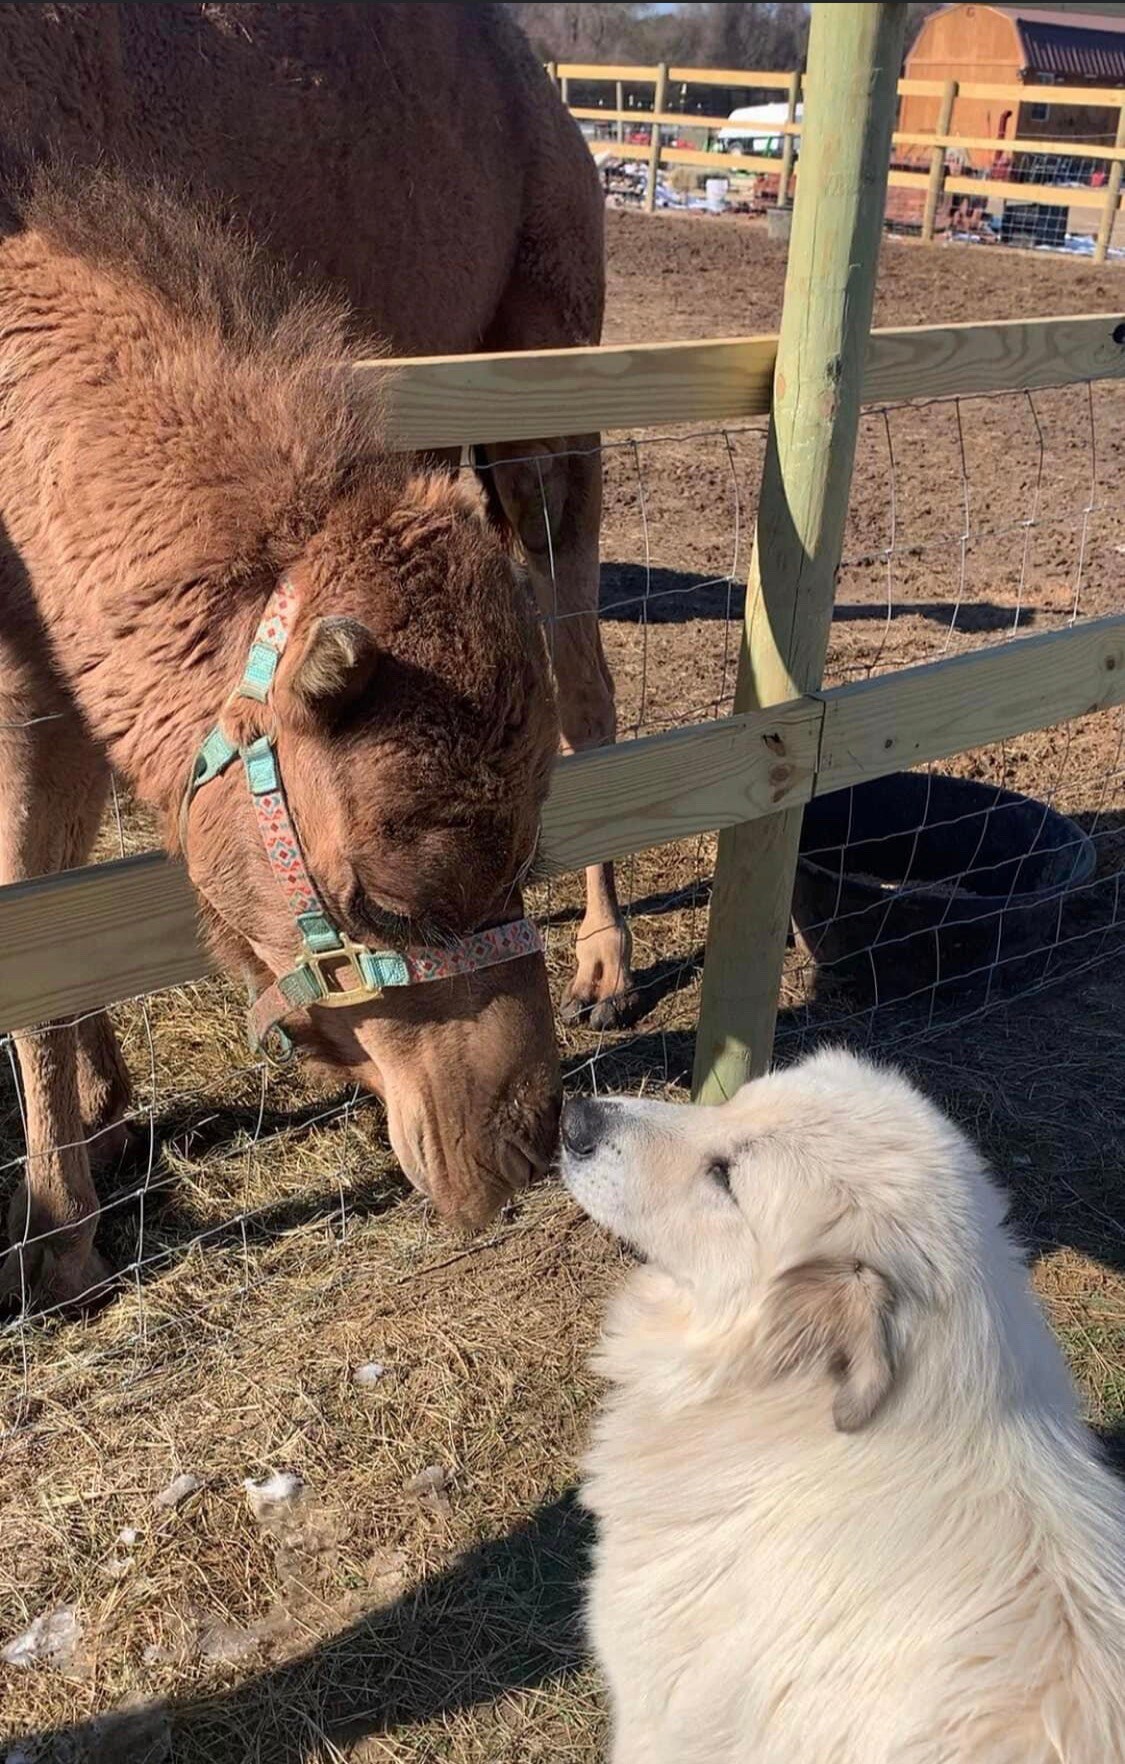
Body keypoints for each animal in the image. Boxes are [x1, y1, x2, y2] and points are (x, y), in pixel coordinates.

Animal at [0, 3, 631, 1312]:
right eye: (376, 901)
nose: (523, 1142)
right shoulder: (43, 623)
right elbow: (46, 890)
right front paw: (99, 1133)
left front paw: (59, 1241)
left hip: (551, 355)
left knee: (584, 676)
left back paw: (608, 967)